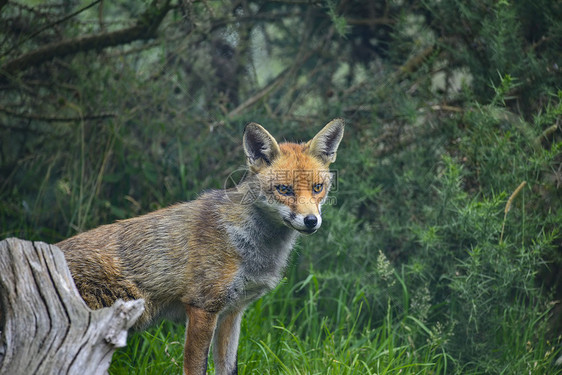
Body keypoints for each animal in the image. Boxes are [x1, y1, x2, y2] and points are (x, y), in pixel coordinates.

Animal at [55, 119, 342, 374]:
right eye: (284, 190)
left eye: (318, 188)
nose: (311, 221)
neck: (247, 244)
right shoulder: (203, 307)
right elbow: (196, 368)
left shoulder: (233, 311)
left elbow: (228, 368)